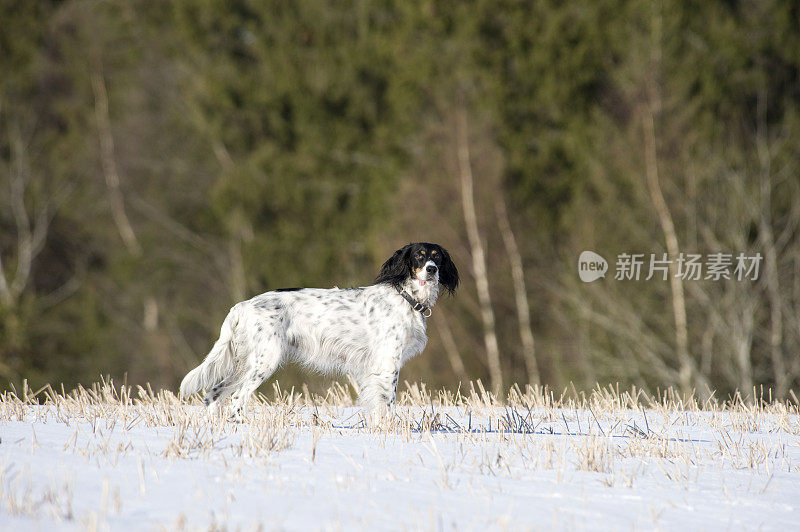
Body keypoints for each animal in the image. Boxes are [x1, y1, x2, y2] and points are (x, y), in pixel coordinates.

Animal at [179, 243, 460, 422]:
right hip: (264, 361)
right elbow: (388, 402)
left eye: (437, 257)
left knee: (214, 393)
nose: (432, 269)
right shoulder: (388, 364)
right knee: (237, 398)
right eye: (419, 256)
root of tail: (243, 305)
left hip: (245, 362)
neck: (405, 298)